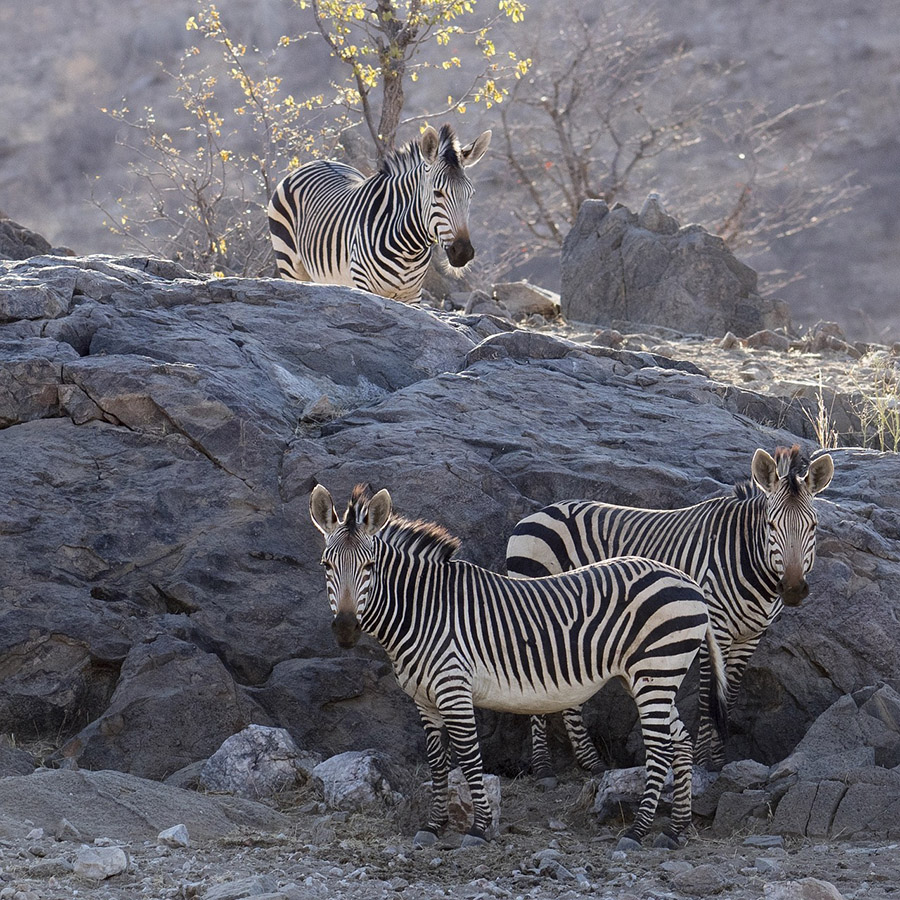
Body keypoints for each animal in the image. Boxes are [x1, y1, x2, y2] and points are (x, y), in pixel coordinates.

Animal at [267, 125, 491, 301]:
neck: (409, 248)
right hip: (289, 263)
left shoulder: (412, 294)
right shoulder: (364, 285)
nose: (463, 252)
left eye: (471, 195)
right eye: (438, 193)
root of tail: (314, 162)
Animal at [310, 483, 728, 850]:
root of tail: (687, 580)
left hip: (655, 672)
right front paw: (433, 825)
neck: (424, 610)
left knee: (660, 751)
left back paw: (637, 832)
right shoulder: (425, 701)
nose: (345, 629)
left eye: (369, 566)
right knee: (681, 742)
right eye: (326, 564)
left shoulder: (454, 690)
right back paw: (675, 830)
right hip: (649, 678)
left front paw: (478, 828)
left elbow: (469, 760)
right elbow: (438, 764)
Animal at [506, 445, 835, 781]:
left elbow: (728, 695)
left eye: (813, 526)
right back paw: (543, 766)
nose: (793, 588)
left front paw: (719, 759)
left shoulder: (751, 636)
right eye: (771, 525)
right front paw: (703, 761)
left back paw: (591, 762)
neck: (747, 558)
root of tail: (538, 513)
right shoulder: (713, 627)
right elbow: (707, 696)